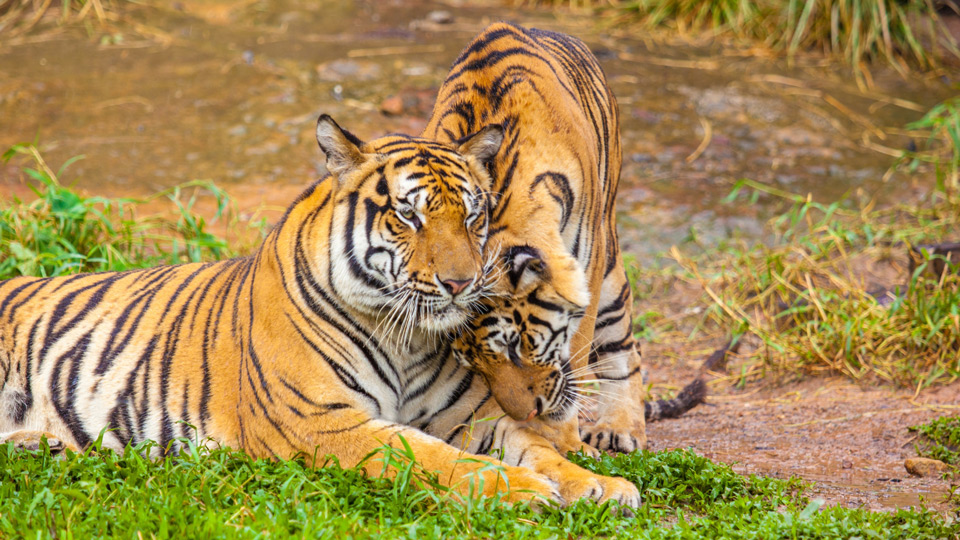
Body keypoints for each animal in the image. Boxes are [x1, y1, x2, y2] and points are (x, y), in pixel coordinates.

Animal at [3, 113, 640, 506]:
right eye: (408, 215)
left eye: (474, 215)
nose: (461, 284)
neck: (405, 337)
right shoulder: (322, 421)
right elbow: (428, 457)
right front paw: (523, 490)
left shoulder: (469, 416)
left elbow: (536, 445)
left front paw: (601, 486)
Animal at [426, 22, 656, 456]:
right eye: (471, 363)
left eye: (515, 345)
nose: (527, 413)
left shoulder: (587, 272)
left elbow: (576, 362)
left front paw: (566, 442)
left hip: (610, 267)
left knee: (624, 346)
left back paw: (619, 428)